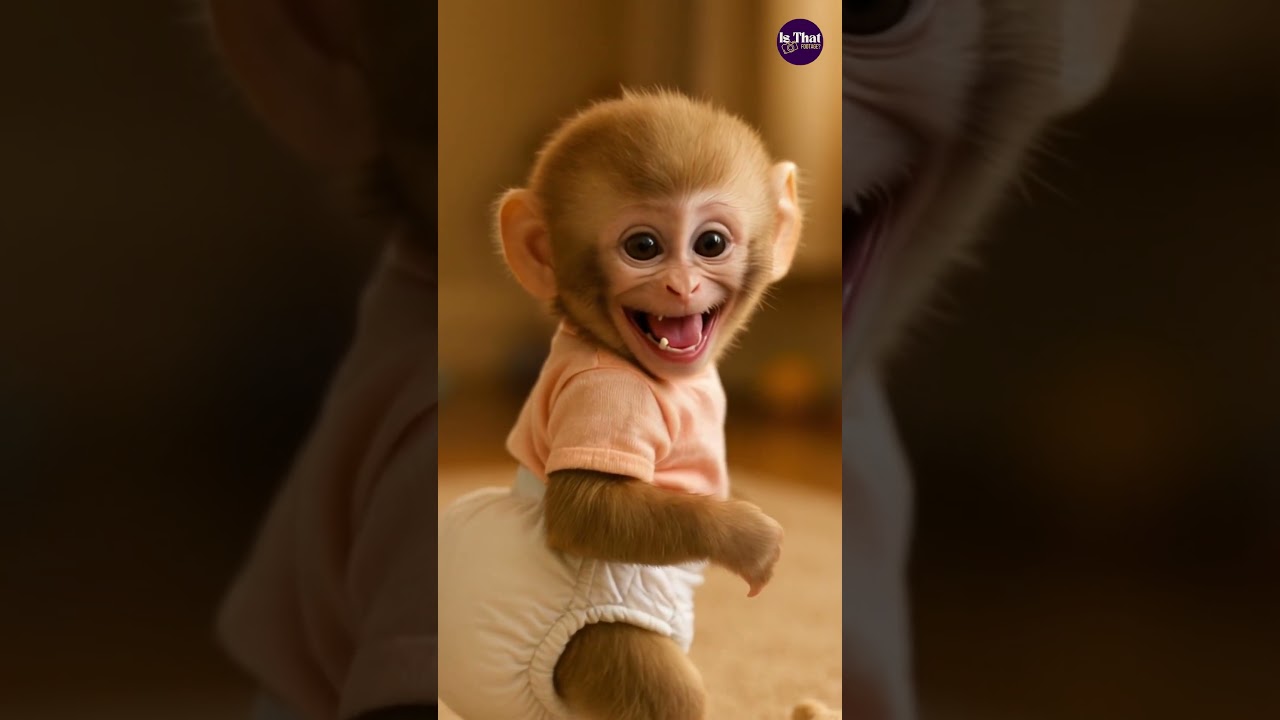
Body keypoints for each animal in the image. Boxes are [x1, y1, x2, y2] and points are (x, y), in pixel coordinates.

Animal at [434, 88, 801, 720]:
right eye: (643, 247)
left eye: (710, 243)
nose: (681, 285)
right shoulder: (606, 394)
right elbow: (585, 510)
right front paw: (752, 538)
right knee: (661, 687)